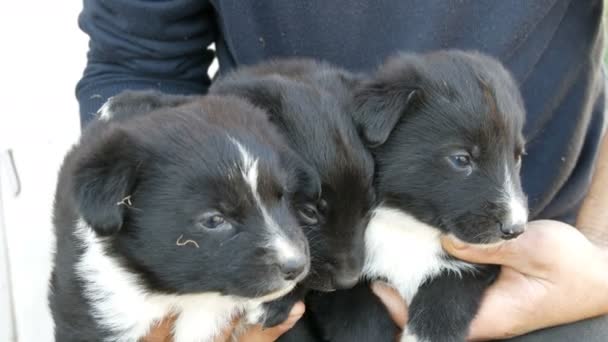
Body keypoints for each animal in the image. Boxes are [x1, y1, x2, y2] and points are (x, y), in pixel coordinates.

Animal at [308, 50, 528, 342]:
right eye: (461, 159)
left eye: (518, 157)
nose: (515, 229)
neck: (410, 226)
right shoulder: (340, 281)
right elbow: (358, 320)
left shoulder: (470, 269)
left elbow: (444, 304)